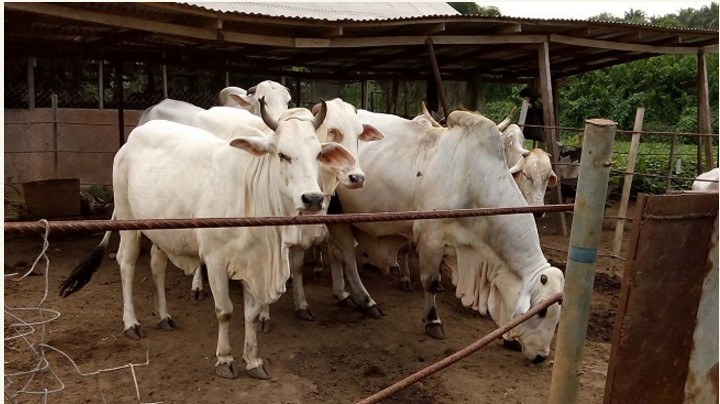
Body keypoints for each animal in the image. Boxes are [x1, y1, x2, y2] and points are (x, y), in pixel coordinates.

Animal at [59, 101, 358, 380]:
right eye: (282, 154)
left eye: (318, 154)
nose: (313, 199)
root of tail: (133, 137)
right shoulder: (215, 262)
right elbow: (225, 311)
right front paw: (225, 360)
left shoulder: (253, 263)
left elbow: (250, 314)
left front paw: (254, 361)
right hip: (128, 220)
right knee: (127, 264)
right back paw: (131, 323)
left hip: (162, 232)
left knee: (157, 265)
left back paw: (164, 316)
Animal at [326, 109, 565, 363]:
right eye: (541, 312)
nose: (541, 356)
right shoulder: (430, 237)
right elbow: (430, 281)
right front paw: (433, 321)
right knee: (348, 259)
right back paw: (366, 301)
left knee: (335, 252)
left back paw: (342, 294)